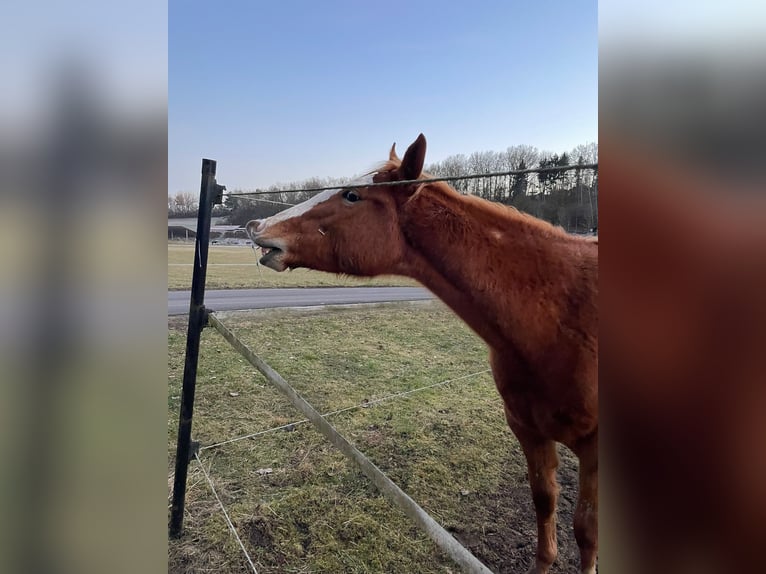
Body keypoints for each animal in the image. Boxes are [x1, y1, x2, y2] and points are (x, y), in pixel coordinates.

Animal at [246, 136, 600, 574]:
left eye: (352, 195)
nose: (258, 228)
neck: (562, 317)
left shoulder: (595, 451)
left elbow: (586, 531)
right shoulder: (528, 430)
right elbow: (544, 504)